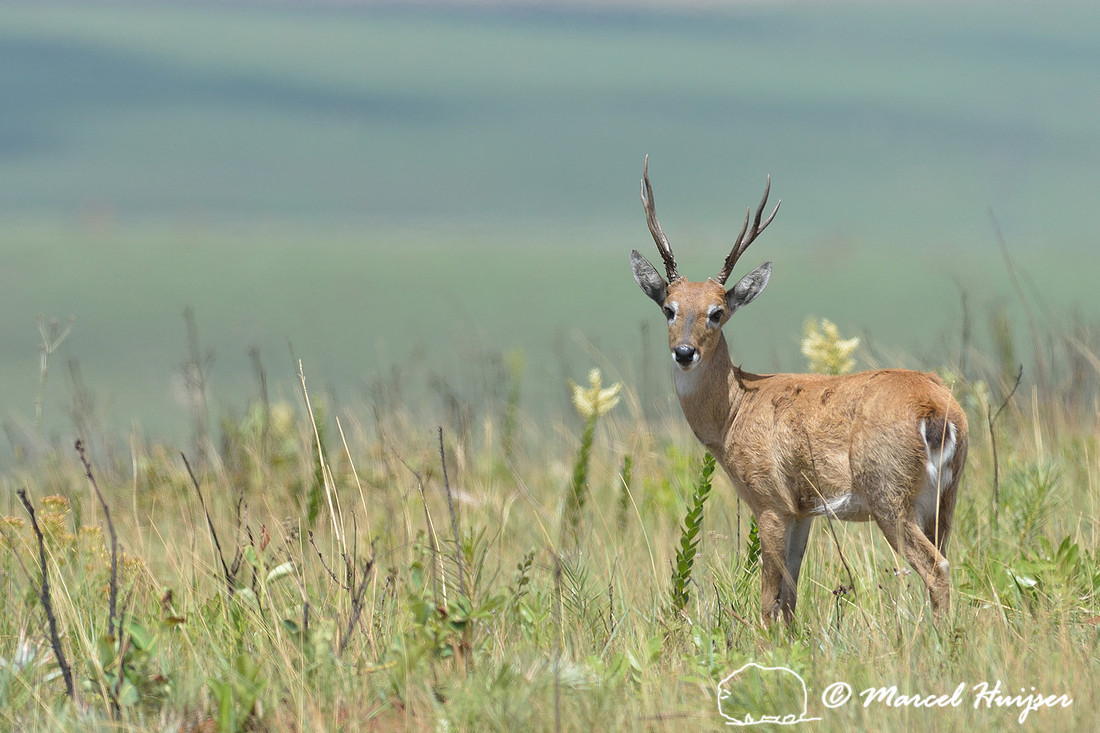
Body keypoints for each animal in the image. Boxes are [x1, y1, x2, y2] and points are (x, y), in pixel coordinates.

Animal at [630, 157, 968, 625]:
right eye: (669, 308)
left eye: (717, 312)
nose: (684, 352)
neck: (736, 410)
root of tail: (936, 410)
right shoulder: (803, 510)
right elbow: (790, 596)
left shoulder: (770, 501)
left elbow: (768, 597)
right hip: (945, 499)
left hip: (889, 494)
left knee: (936, 568)